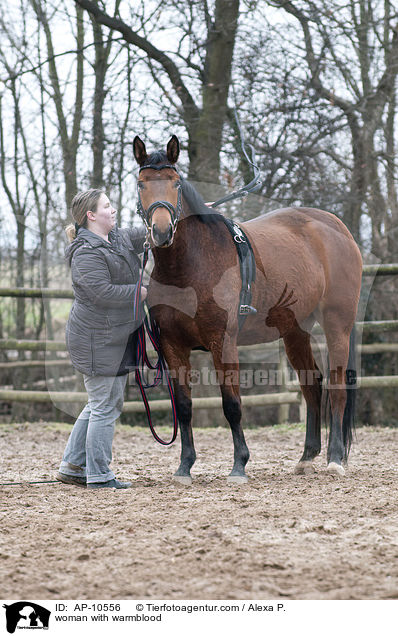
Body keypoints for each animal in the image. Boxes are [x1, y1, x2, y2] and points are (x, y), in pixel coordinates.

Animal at [133, 133, 360, 482]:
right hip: (295, 332)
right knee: (312, 385)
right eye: (141, 184)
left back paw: (335, 459)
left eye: (175, 182)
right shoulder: (172, 345)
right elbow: (184, 406)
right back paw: (307, 457)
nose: (161, 231)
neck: (190, 264)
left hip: (338, 326)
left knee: (337, 387)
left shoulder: (223, 343)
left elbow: (232, 405)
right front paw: (185, 466)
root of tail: (338, 228)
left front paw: (239, 464)